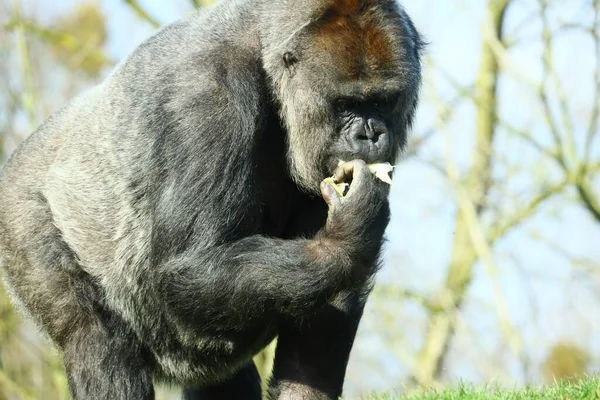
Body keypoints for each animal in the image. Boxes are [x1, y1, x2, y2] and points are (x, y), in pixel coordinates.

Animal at [0, 0, 422, 398]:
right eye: (345, 104)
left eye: (384, 101)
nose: (370, 135)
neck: (266, 58)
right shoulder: (209, 97)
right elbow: (191, 264)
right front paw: (345, 238)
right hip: (18, 215)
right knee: (94, 339)